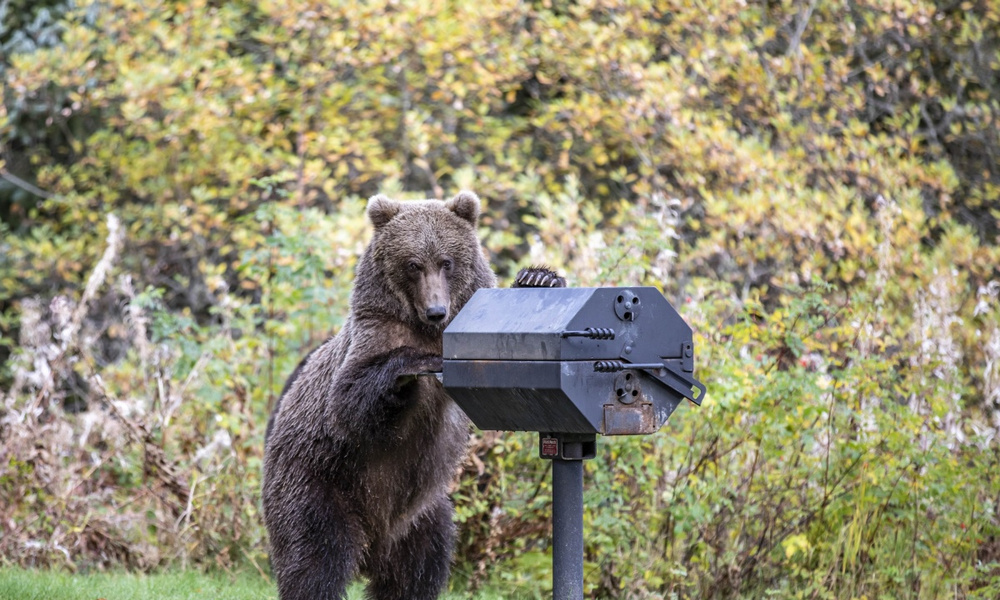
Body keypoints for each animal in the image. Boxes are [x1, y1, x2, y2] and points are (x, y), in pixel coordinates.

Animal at [266, 192, 500, 600]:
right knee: (314, 558)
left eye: (447, 261)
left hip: (422, 515)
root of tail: (373, 547)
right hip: (319, 485)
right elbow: (350, 400)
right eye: (413, 264)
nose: (436, 310)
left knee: (418, 569)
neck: (427, 330)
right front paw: (413, 365)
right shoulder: (375, 332)